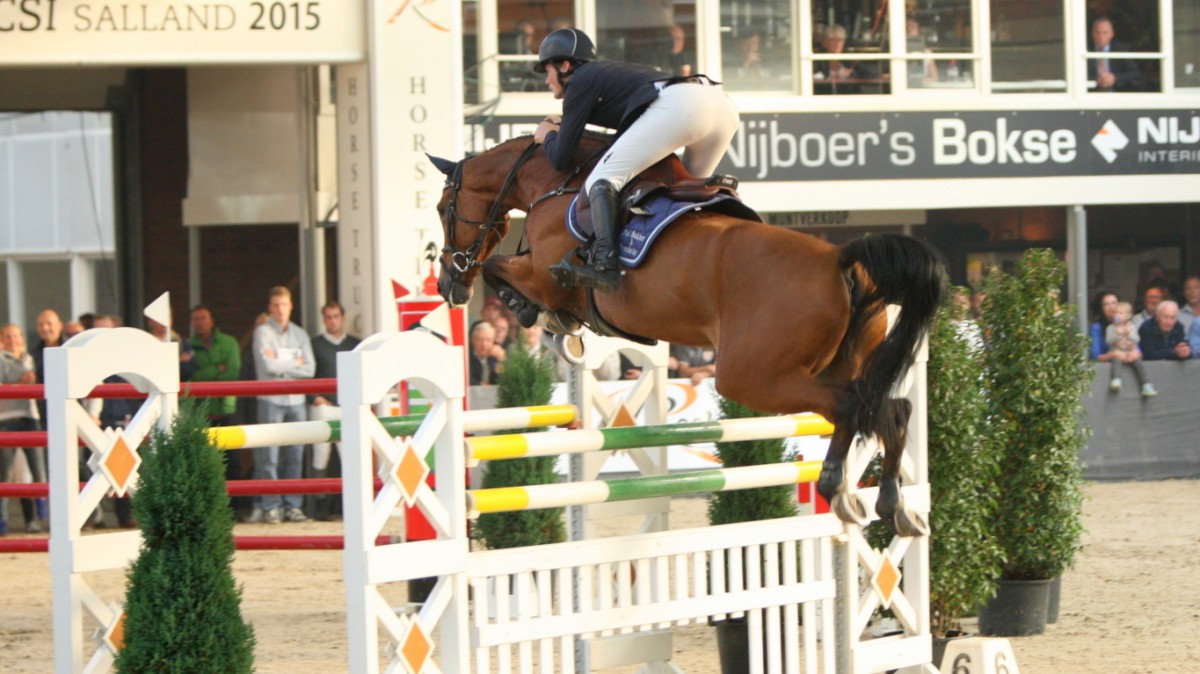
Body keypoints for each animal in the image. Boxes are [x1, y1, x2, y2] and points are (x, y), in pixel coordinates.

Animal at [432, 134, 945, 534]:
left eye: (441, 208)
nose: (447, 285)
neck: (557, 186)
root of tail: (840, 258)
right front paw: (562, 329)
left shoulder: (544, 277)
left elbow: (500, 269)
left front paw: (536, 315)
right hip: (836, 362)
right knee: (884, 408)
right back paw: (882, 503)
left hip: (752, 376)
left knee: (856, 406)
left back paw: (843, 488)